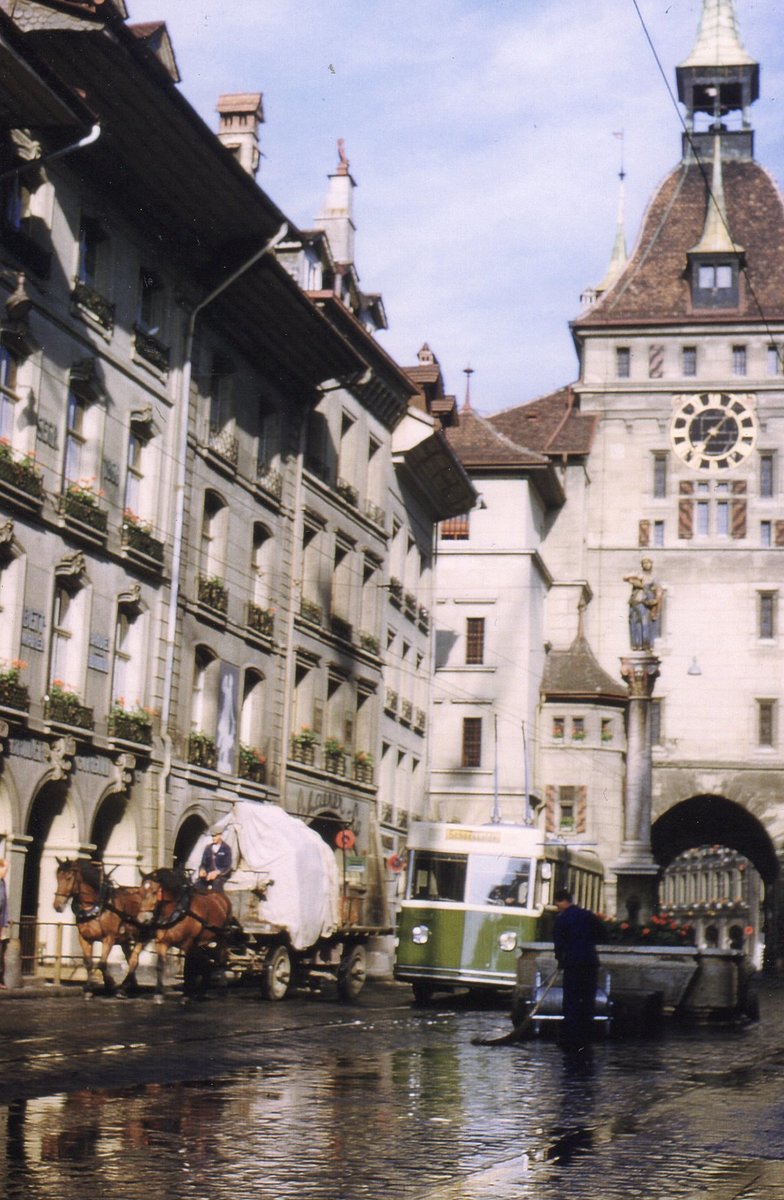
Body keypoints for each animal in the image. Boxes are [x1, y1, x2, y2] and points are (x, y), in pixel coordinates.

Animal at [53, 859, 146, 998]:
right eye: (58, 877)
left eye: (69, 878)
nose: (57, 905)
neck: (98, 907)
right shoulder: (84, 938)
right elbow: (89, 962)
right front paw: (90, 988)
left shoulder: (109, 938)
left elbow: (101, 963)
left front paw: (105, 984)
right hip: (125, 940)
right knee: (130, 959)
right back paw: (130, 986)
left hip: (143, 936)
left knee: (134, 961)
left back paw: (123, 988)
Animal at [133, 864, 230, 1003]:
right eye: (140, 892)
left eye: (154, 892)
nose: (142, 919)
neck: (178, 910)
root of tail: (220, 897)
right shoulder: (162, 943)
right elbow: (160, 965)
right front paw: (158, 994)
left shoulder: (188, 943)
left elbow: (187, 969)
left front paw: (186, 995)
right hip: (203, 943)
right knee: (206, 962)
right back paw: (202, 991)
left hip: (221, 938)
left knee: (220, 959)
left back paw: (222, 988)